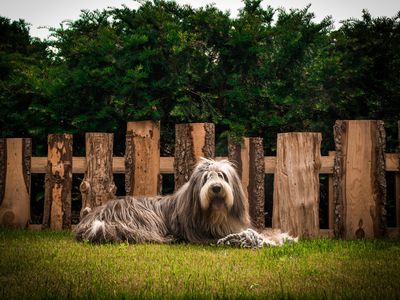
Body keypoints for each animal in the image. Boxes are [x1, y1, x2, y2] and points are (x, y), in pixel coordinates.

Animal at [74, 158, 294, 247]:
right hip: (145, 219)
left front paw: (282, 236)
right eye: (206, 178)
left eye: (222, 176)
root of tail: (94, 217)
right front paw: (270, 240)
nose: (216, 188)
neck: (216, 216)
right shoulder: (204, 236)